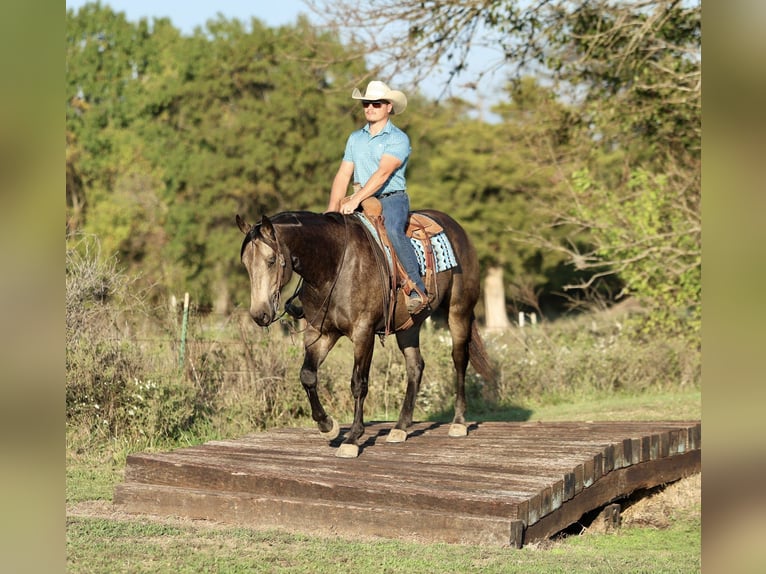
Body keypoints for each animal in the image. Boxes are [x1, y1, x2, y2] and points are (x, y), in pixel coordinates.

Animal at [236, 209, 495, 458]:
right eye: (246, 264)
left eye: (271, 261)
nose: (259, 314)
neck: (333, 267)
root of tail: (457, 229)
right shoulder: (320, 333)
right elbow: (307, 375)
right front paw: (327, 425)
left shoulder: (363, 333)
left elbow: (358, 383)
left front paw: (352, 439)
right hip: (409, 326)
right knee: (415, 366)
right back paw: (400, 427)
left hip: (458, 312)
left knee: (459, 360)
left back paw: (458, 422)